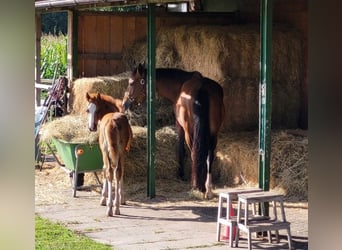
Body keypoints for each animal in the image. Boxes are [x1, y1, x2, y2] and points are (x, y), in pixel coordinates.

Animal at [122, 62, 224, 197]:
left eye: (131, 83)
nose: (124, 104)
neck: (180, 85)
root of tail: (201, 89)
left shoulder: (180, 126)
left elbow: (181, 149)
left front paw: (180, 174)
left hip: (190, 132)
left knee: (194, 153)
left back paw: (196, 185)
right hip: (213, 133)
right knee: (209, 156)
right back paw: (208, 188)